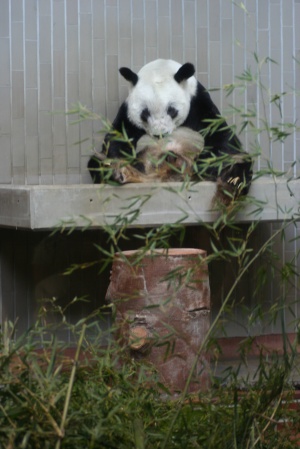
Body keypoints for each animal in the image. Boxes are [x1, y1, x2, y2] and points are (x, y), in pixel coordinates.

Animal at [88, 58, 252, 202]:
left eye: (171, 110)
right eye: (145, 113)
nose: (160, 134)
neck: (161, 67)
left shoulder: (199, 103)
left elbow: (223, 138)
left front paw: (204, 165)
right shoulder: (127, 114)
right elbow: (116, 141)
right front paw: (126, 164)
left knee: (239, 162)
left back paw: (231, 180)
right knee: (96, 162)